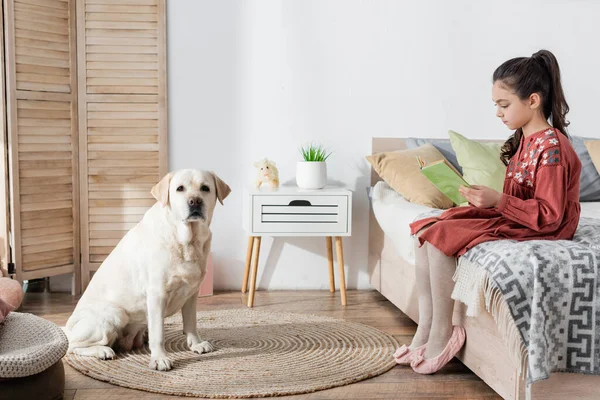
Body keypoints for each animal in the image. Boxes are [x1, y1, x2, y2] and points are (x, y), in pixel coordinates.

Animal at [65, 170, 230, 372]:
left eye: (205, 188)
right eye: (180, 188)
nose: (195, 201)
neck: (186, 241)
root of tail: (68, 327)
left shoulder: (192, 293)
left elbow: (191, 322)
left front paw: (196, 344)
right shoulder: (157, 294)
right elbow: (158, 333)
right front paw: (159, 359)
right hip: (115, 313)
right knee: (72, 346)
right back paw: (102, 351)